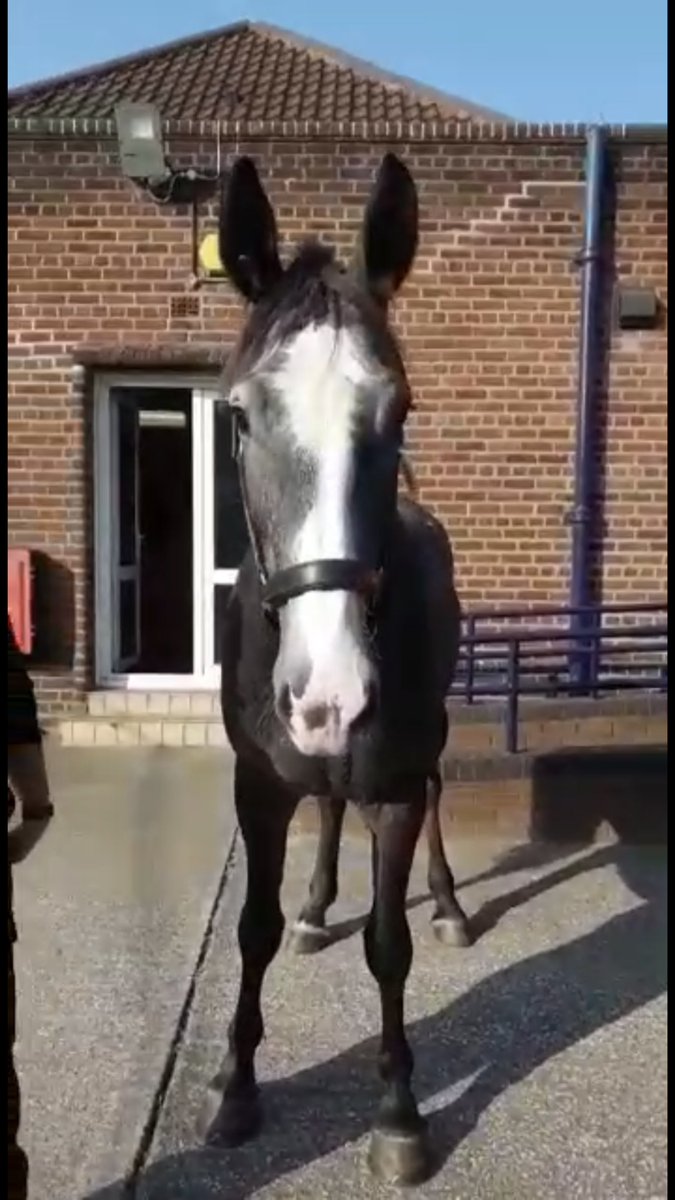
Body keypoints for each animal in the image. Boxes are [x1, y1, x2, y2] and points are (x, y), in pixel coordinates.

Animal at [210, 152, 472, 1185]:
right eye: (240, 416)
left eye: (397, 408)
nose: (330, 695)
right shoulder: (256, 783)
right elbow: (253, 927)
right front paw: (237, 1087)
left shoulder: (392, 782)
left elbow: (389, 944)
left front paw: (399, 1113)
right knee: (324, 807)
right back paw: (320, 903)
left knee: (433, 798)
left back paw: (449, 903)